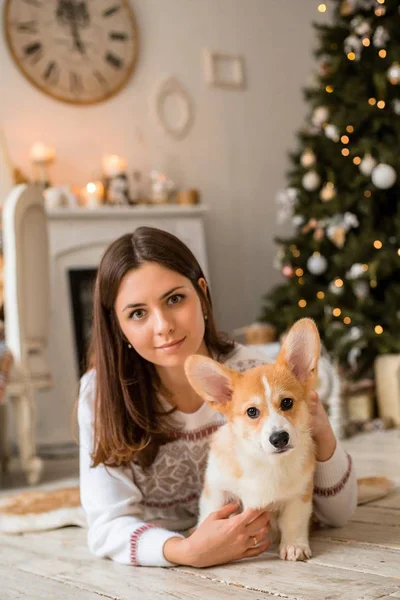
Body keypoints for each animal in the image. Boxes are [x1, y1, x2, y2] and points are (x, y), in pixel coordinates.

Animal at [186, 318, 320, 564]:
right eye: (252, 412)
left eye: (287, 402)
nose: (279, 438)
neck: (266, 462)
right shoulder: (217, 490)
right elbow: (210, 514)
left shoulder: (300, 494)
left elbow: (293, 522)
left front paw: (294, 546)